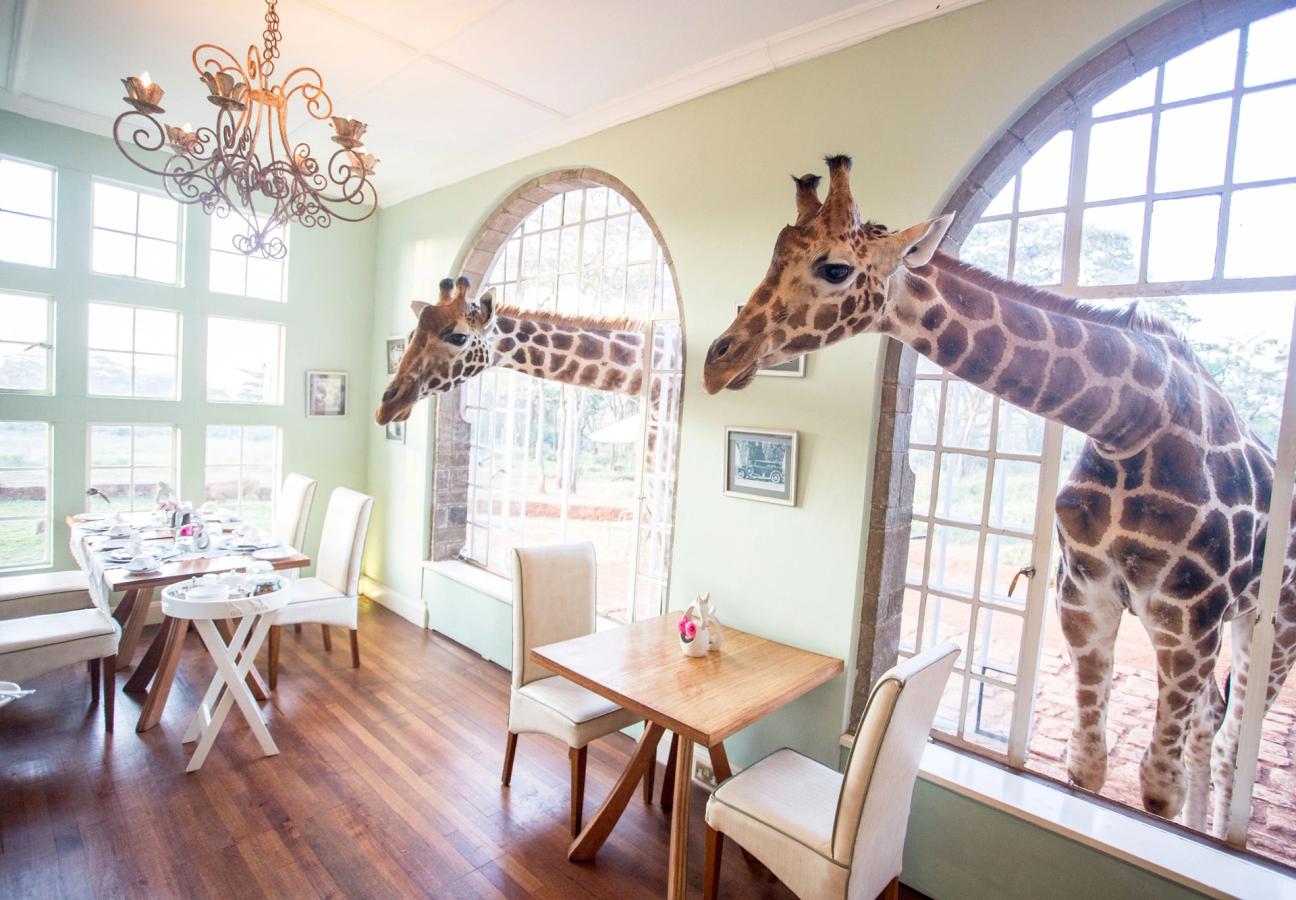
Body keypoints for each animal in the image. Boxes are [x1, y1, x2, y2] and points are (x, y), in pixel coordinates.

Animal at [702, 155, 1296, 835]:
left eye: (835, 268)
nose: (718, 362)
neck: (1131, 420)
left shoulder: (1188, 622)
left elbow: (1156, 792)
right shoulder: (1085, 600)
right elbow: (1087, 767)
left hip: (1268, 625)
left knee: (1225, 742)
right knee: (1209, 729)